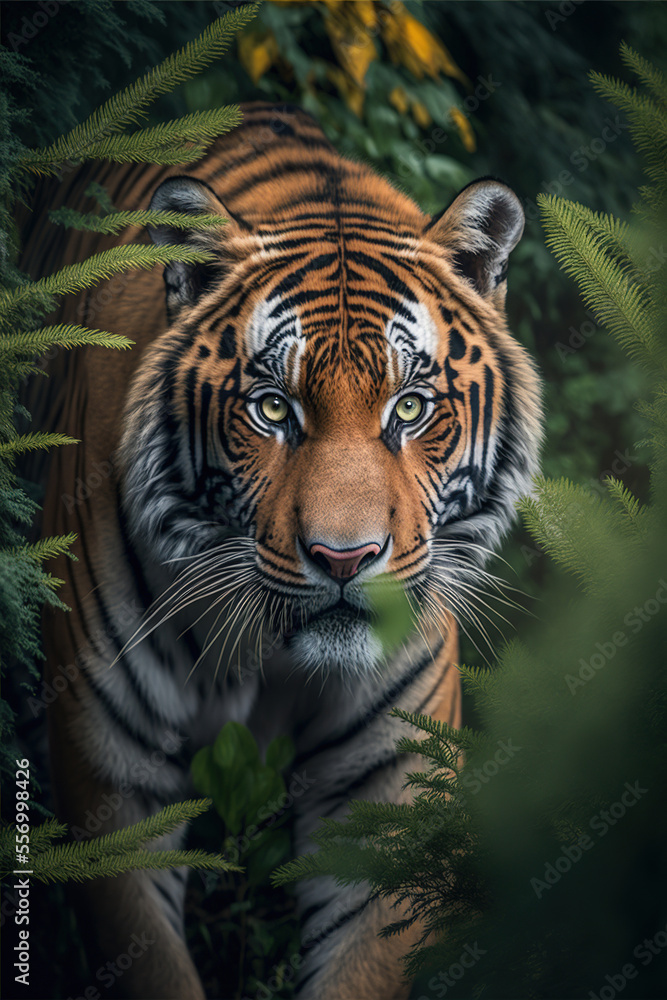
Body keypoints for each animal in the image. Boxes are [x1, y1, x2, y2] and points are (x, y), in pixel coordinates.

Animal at [19, 102, 542, 999]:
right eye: (271, 408)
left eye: (410, 407)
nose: (343, 558)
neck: (268, 658)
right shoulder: (112, 784)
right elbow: (150, 961)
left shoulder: (384, 790)